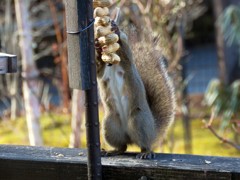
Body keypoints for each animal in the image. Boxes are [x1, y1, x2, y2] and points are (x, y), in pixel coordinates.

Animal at [94, 20, 175, 159]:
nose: (101, 45)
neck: (112, 65)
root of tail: (153, 131)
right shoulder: (102, 72)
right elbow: (99, 69)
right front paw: (98, 50)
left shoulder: (127, 63)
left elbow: (125, 53)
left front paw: (116, 32)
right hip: (110, 125)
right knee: (123, 146)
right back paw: (112, 151)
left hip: (139, 121)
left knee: (144, 145)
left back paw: (146, 152)